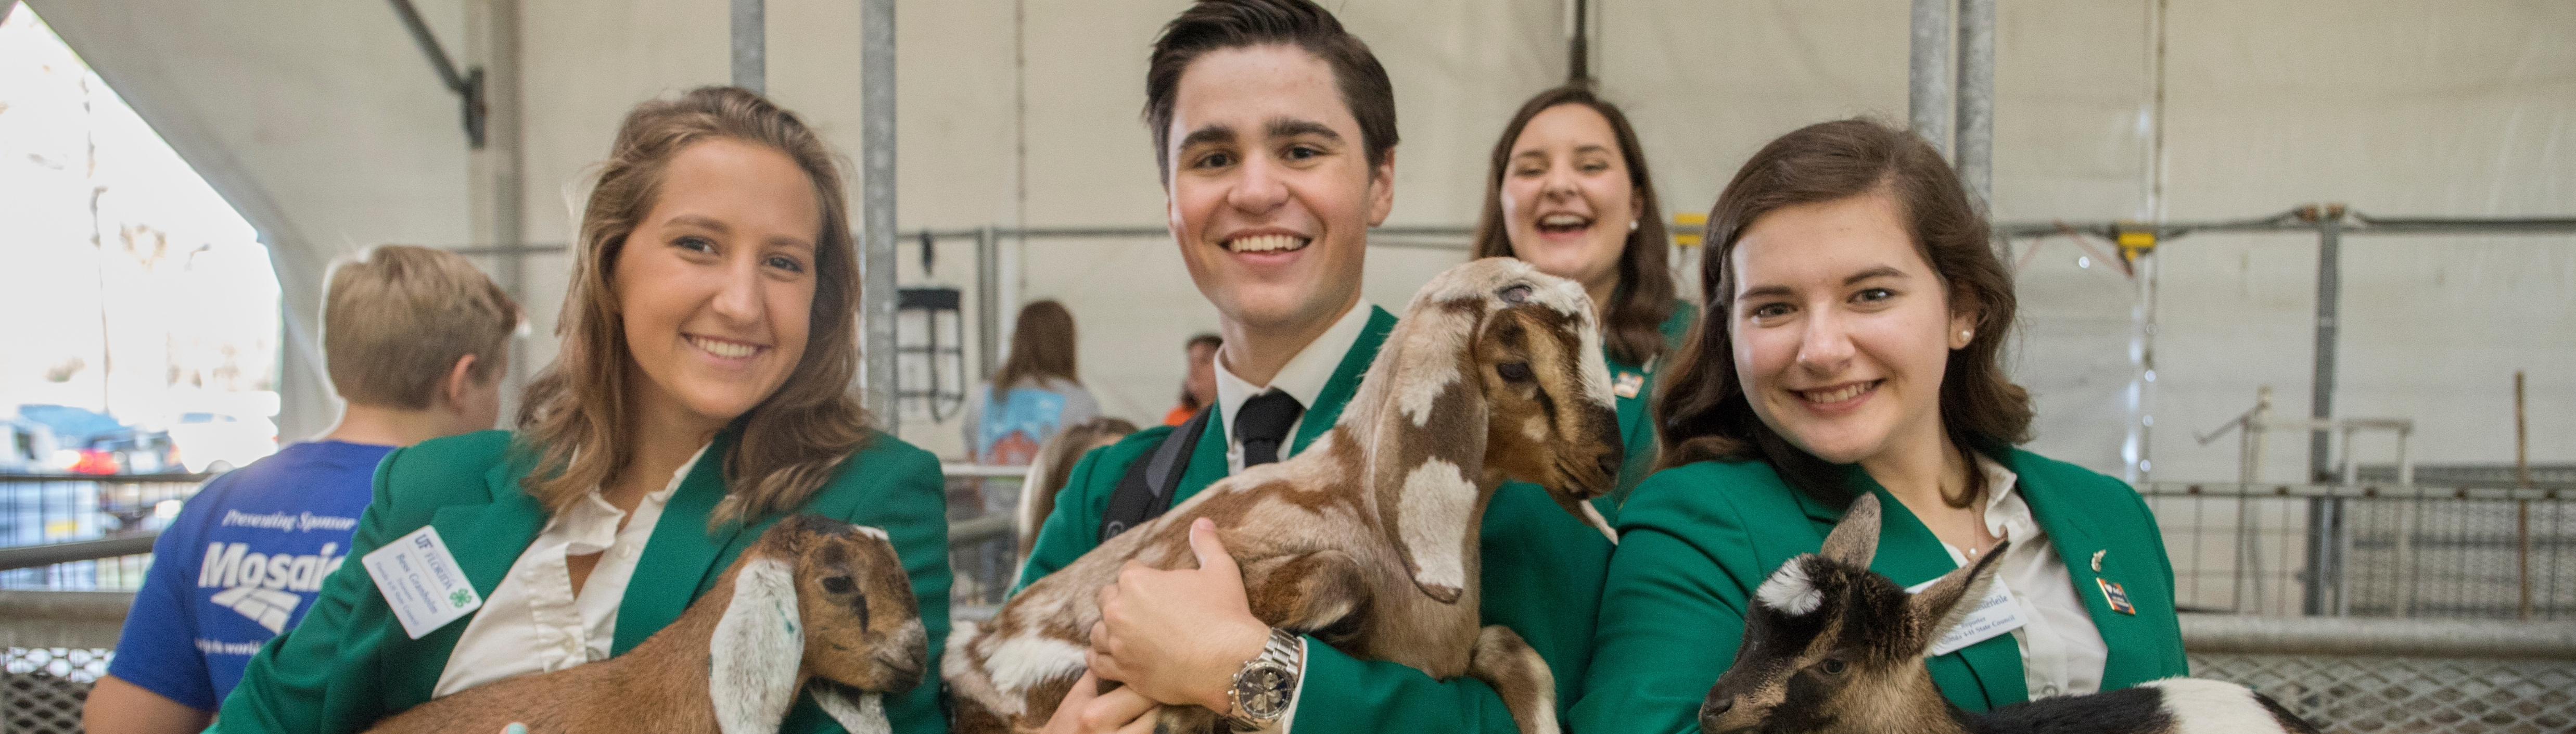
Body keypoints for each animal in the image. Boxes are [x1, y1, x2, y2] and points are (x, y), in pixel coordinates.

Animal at [948, 259, 1628, 731]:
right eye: (1515, 368)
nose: (1610, 463)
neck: (1363, 510)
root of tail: (971, 644)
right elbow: (1335, 574)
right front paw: (1178, 714)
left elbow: (1520, 654)